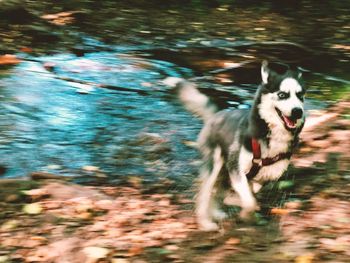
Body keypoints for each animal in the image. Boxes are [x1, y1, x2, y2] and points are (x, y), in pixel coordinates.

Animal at [165, 61, 304, 231]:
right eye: (282, 94)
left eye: (300, 95)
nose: (298, 111)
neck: (269, 133)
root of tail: (215, 115)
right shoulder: (236, 169)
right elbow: (249, 201)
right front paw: (246, 214)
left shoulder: (261, 178)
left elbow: (250, 197)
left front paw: (243, 209)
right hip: (215, 167)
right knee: (204, 194)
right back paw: (205, 222)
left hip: (224, 172)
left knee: (218, 191)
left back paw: (216, 212)